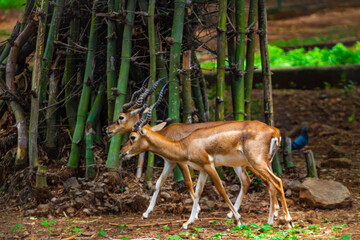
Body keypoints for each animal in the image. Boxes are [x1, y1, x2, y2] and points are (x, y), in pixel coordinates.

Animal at [119, 84, 292, 229]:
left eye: (132, 137)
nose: (122, 152)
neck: (185, 144)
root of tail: (274, 131)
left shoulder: (209, 165)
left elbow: (221, 189)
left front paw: (238, 219)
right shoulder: (201, 169)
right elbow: (198, 191)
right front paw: (188, 222)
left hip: (256, 163)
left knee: (277, 181)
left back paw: (288, 222)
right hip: (263, 163)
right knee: (269, 184)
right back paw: (270, 221)